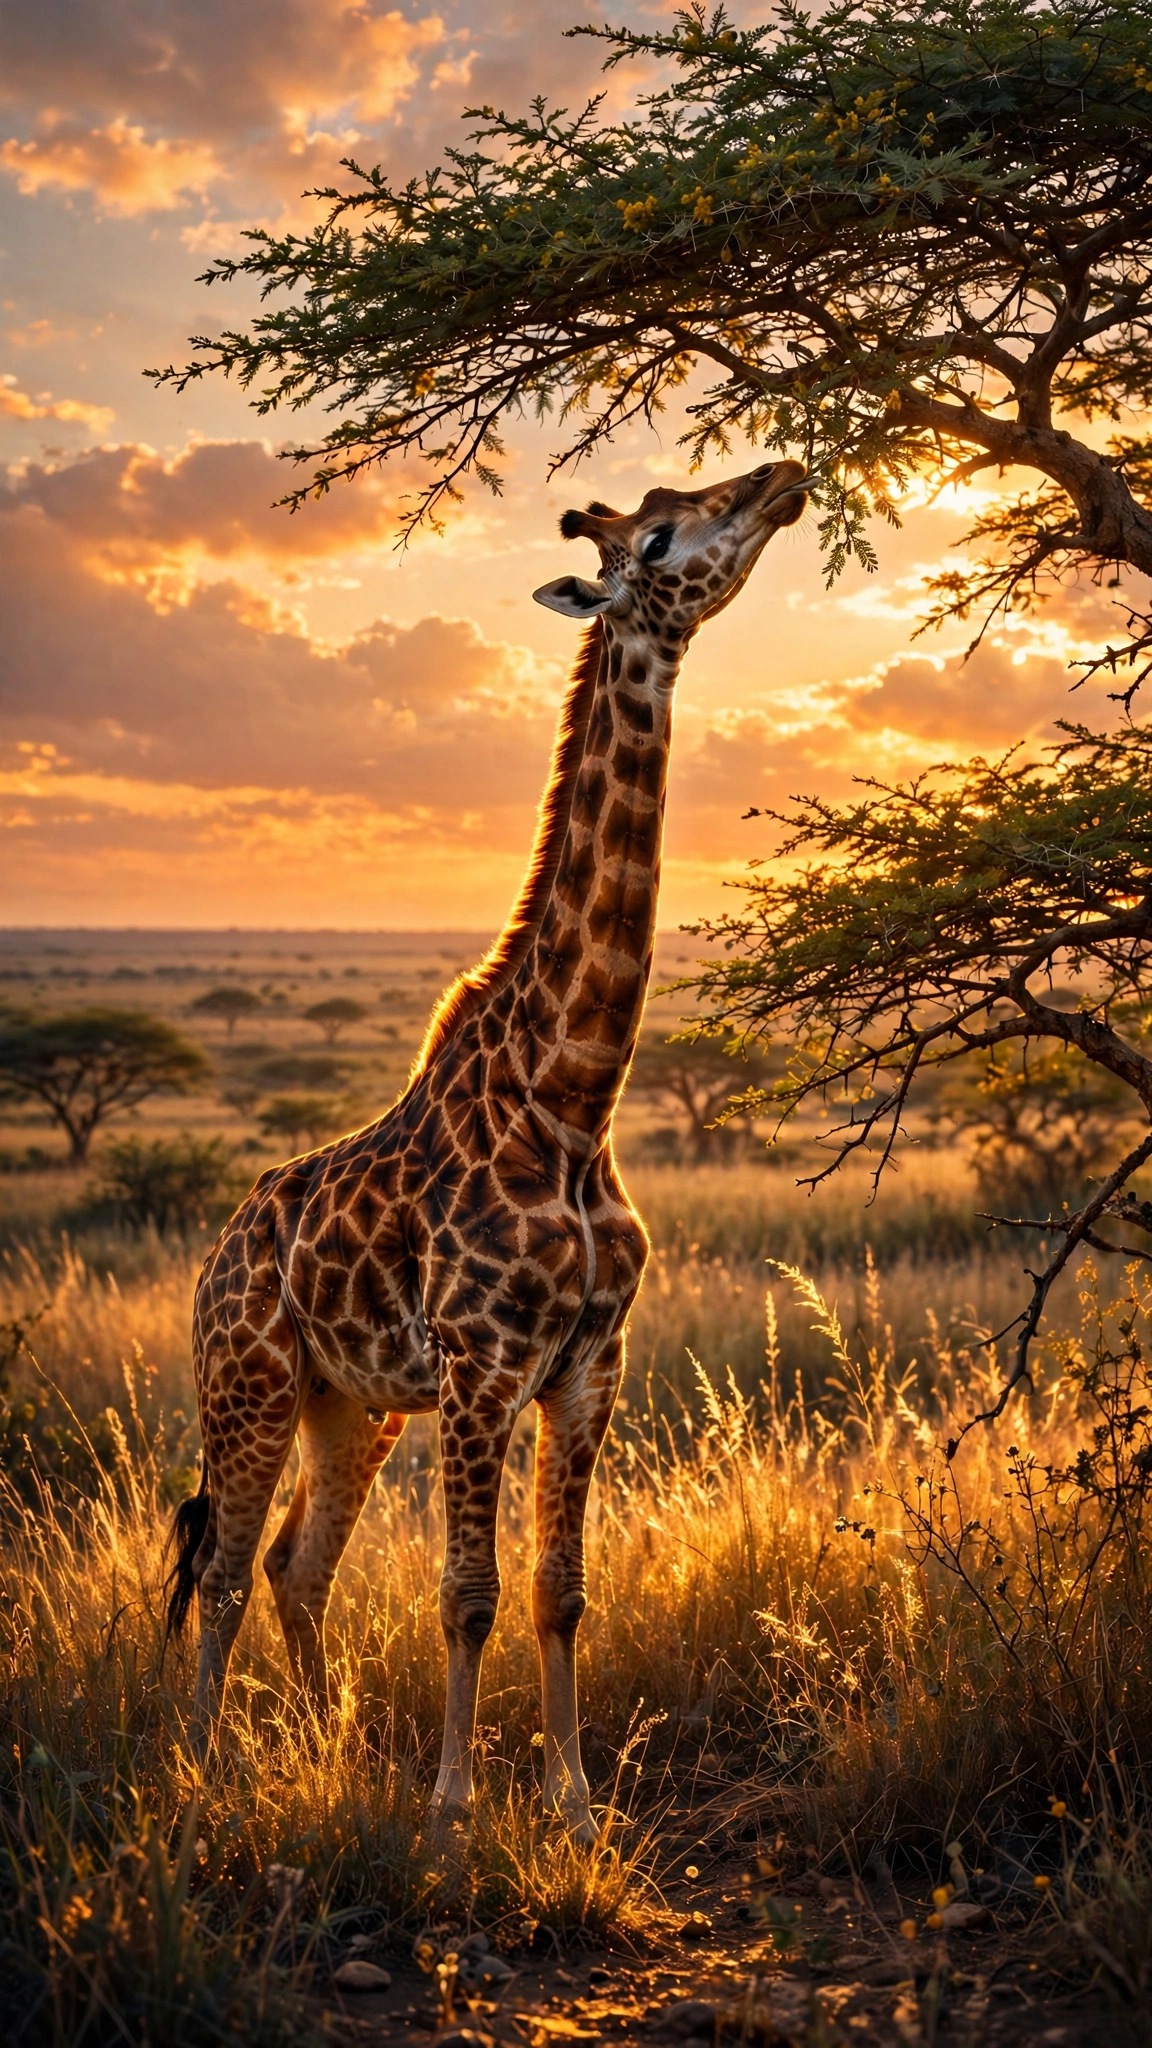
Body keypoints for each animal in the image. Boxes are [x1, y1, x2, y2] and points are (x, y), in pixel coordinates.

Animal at [166, 457, 808, 1842]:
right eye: (658, 535)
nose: (784, 477)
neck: (571, 1096)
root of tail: (217, 1252)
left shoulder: (588, 1365)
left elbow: (561, 1588)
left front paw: (572, 1802)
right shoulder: (478, 1364)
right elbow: (469, 1591)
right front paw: (455, 1809)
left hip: (347, 1405)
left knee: (296, 1565)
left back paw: (336, 1750)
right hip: (247, 1379)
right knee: (228, 1565)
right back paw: (201, 1767)